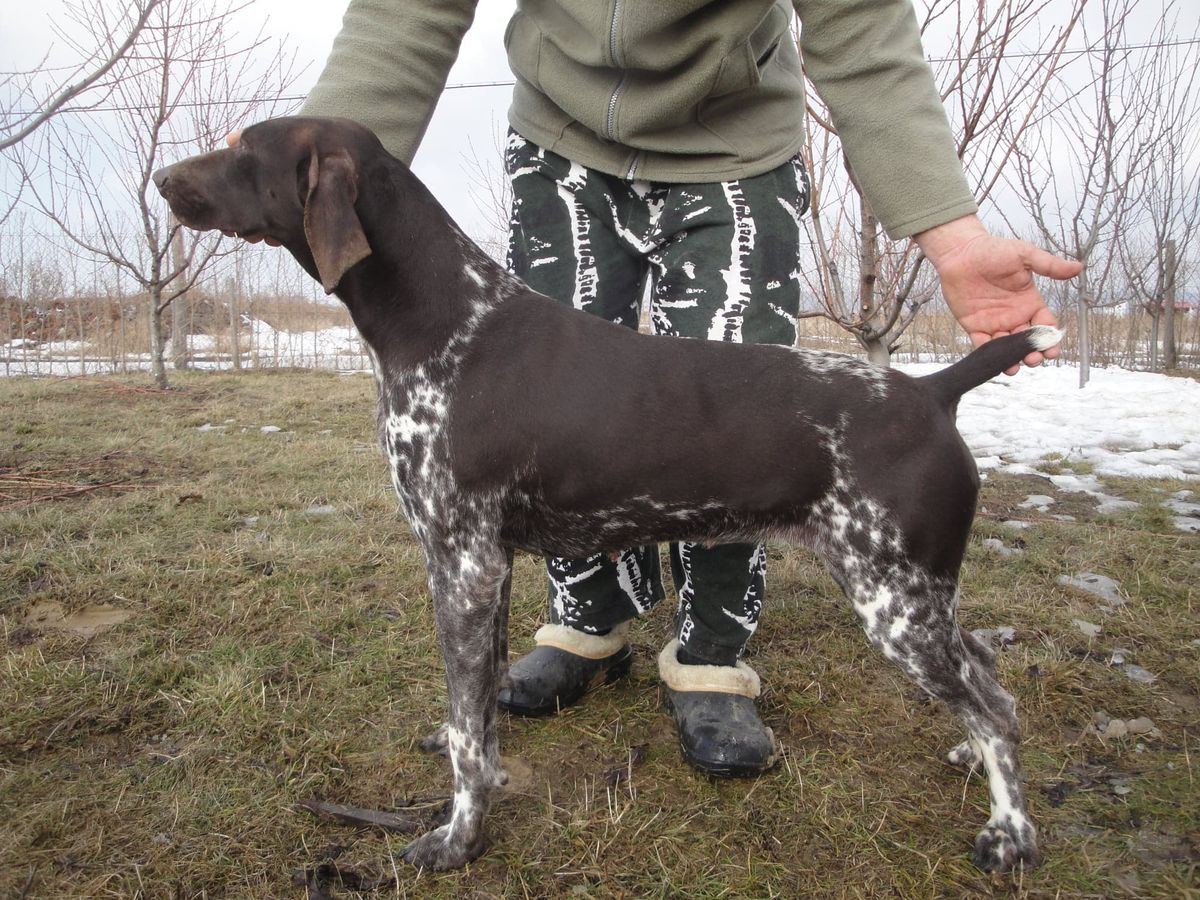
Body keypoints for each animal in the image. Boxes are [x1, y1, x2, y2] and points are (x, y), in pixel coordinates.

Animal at [154, 116, 1056, 878]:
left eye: (244, 149)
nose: (162, 178)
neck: (448, 324)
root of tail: (931, 392)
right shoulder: (488, 568)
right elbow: (479, 715)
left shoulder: (460, 563)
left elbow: (467, 737)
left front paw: (458, 837)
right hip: (921, 595)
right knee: (989, 678)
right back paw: (971, 758)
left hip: (893, 599)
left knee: (1000, 708)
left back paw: (1010, 833)